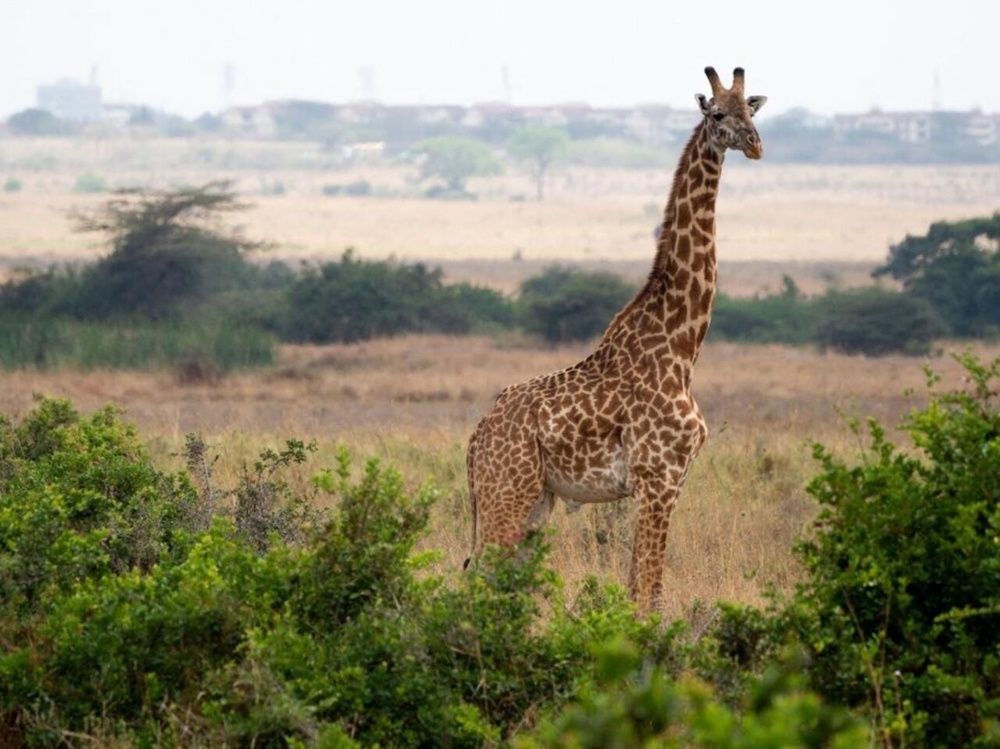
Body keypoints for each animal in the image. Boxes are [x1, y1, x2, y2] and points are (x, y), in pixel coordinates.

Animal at [466, 66, 767, 614]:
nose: (755, 145)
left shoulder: (670, 481)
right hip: (506, 494)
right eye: (717, 114)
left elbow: (640, 589)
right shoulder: (657, 478)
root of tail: (475, 439)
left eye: (750, 112)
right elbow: (647, 593)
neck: (683, 347)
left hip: (535, 501)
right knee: (475, 579)